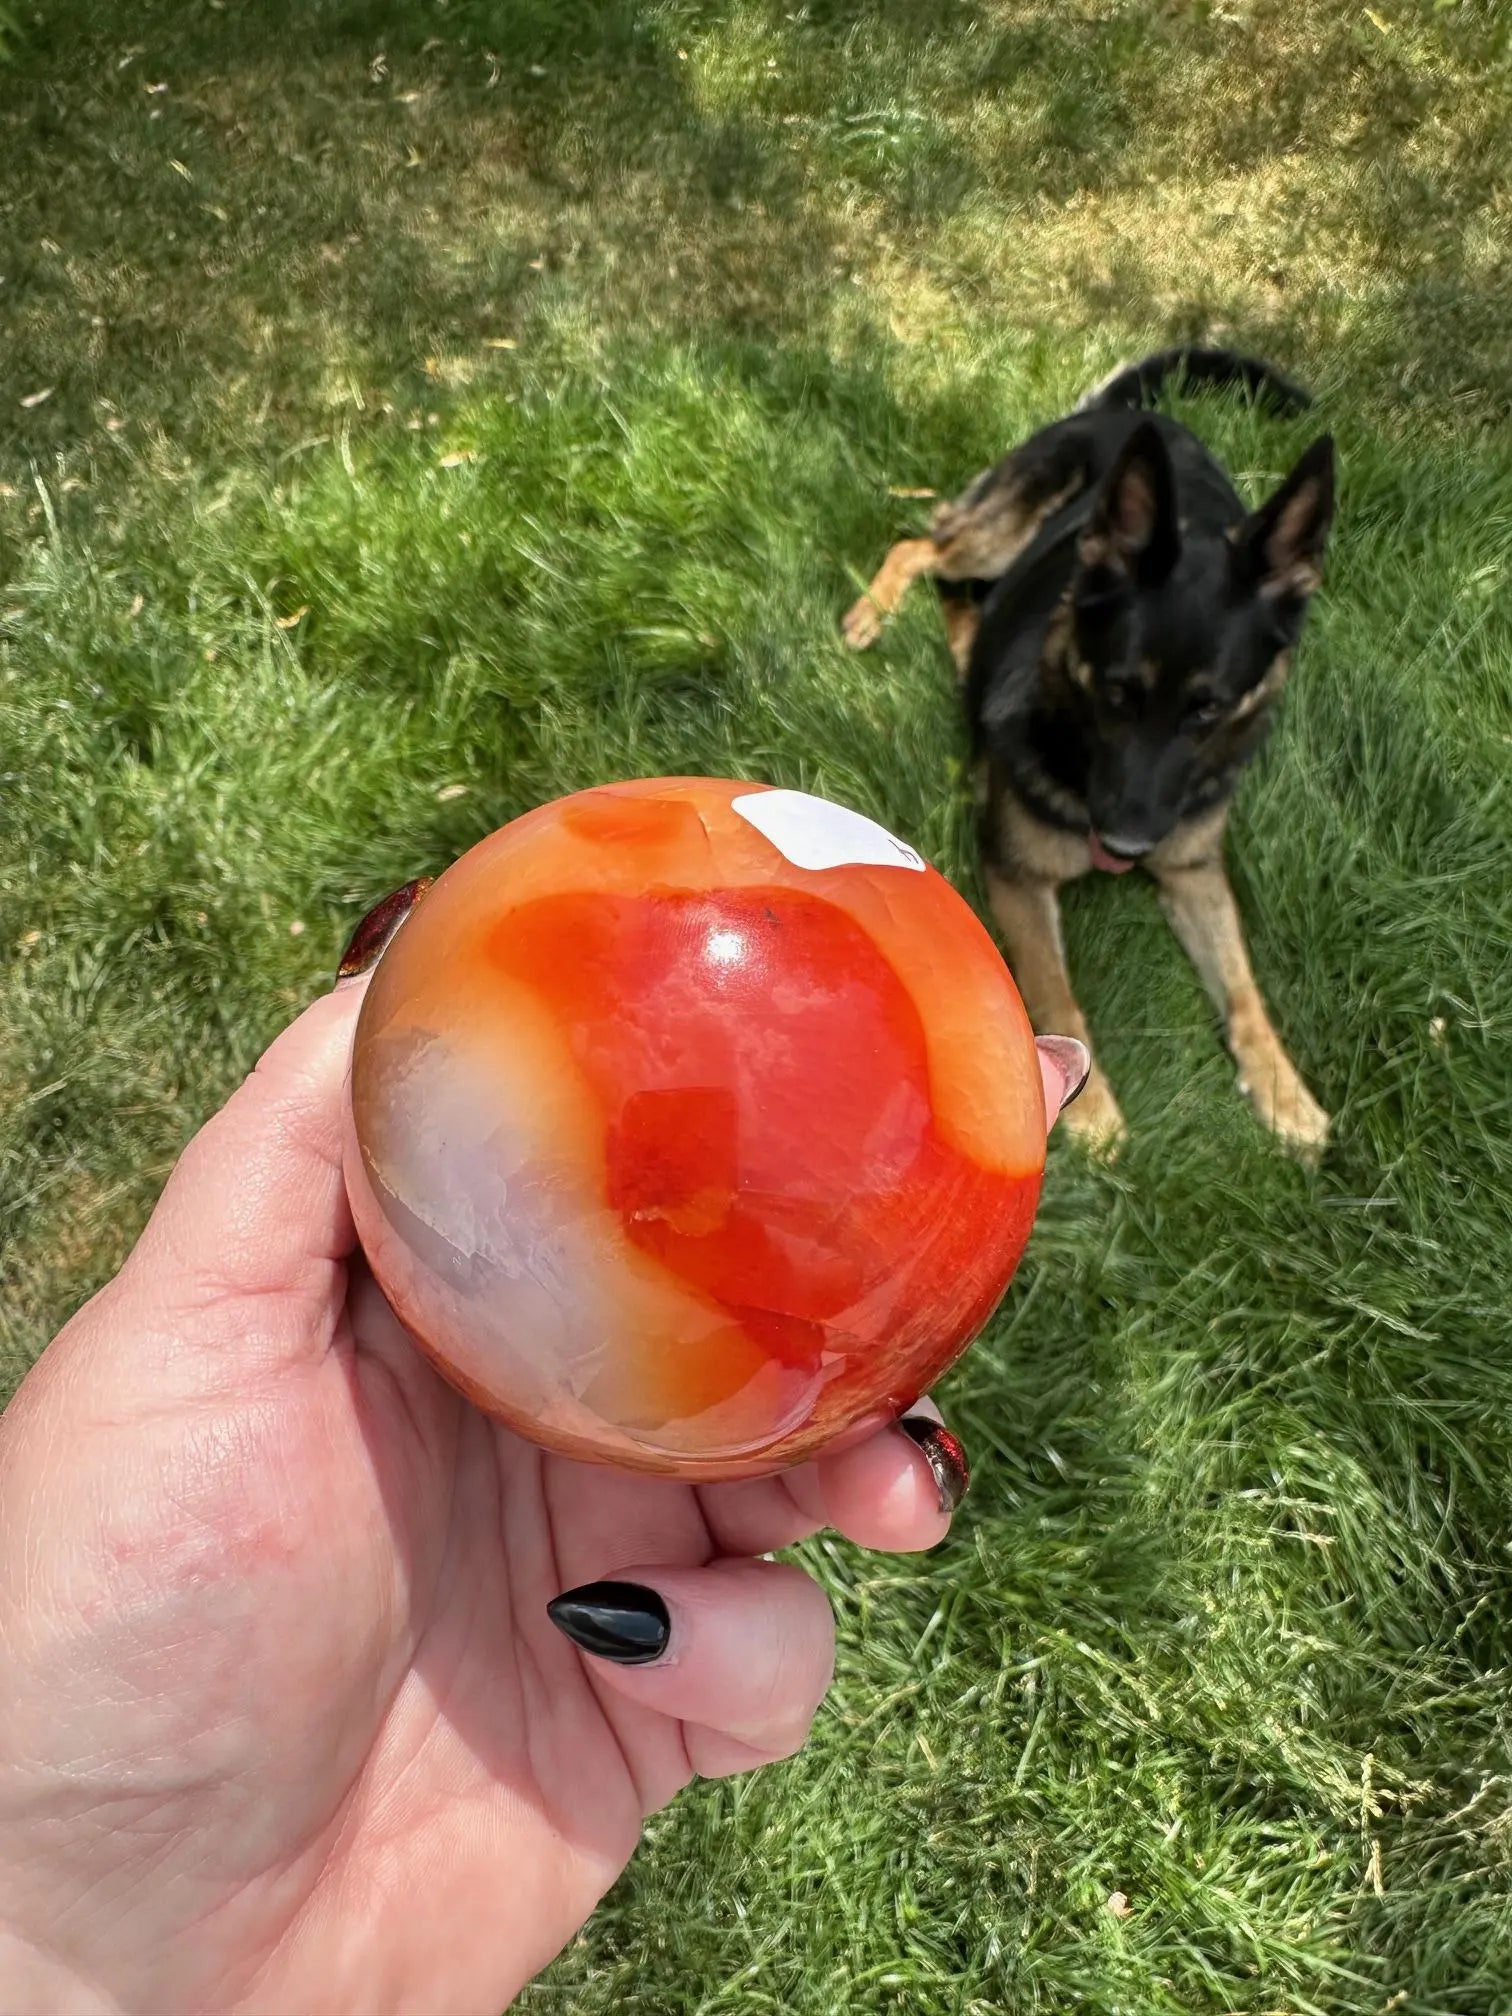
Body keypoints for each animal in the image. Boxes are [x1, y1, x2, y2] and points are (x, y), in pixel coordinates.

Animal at [846, 346, 1330, 1161]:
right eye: (1115, 691)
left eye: (1208, 710)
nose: (1127, 844)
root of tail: (1129, 415)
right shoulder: (1016, 876)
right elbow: (1056, 998)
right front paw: (1090, 1106)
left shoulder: (1194, 874)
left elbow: (1244, 992)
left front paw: (1283, 1091)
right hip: (997, 531)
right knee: (926, 546)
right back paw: (869, 612)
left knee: (959, 596)